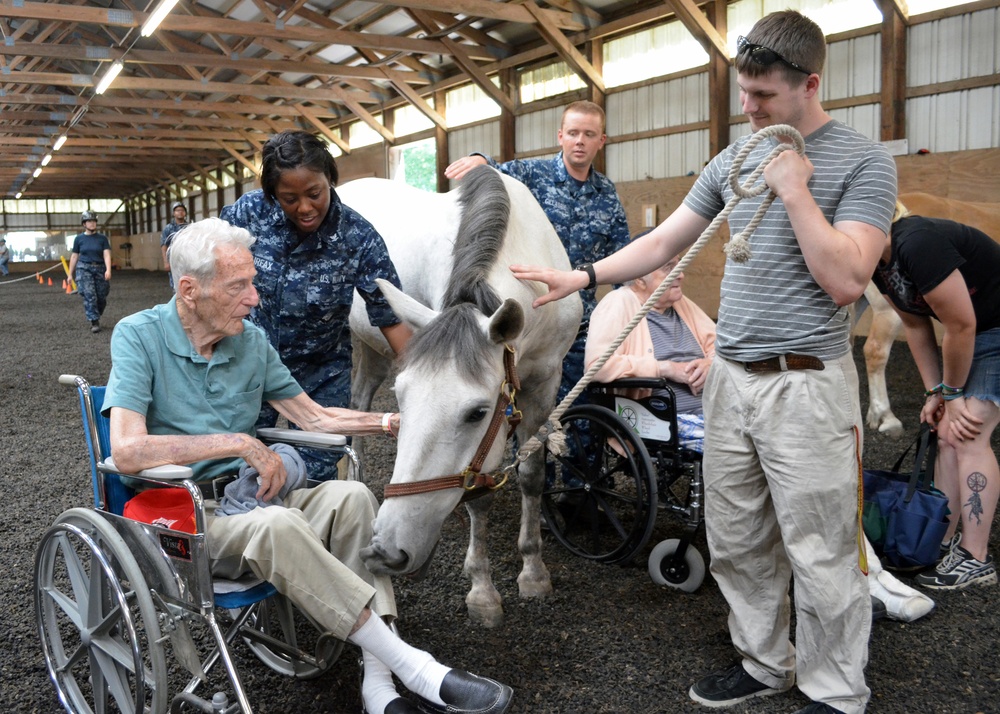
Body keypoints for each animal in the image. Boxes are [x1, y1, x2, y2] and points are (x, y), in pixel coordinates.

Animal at [340, 167, 584, 624]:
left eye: (477, 412)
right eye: (402, 398)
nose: (384, 552)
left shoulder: (545, 385)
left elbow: (532, 476)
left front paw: (533, 572)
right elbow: (480, 499)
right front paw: (483, 592)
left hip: (377, 348)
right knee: (355, 404)